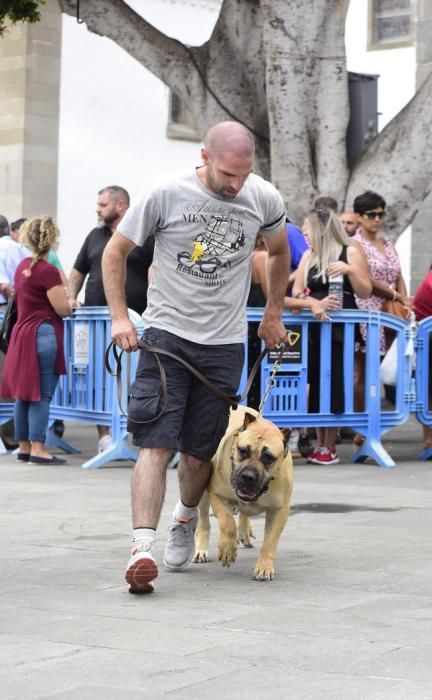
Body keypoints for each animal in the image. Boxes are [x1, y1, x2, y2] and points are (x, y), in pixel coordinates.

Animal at [193, 404, 292, 580]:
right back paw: (201, 550)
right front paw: (227, 549)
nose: (248, 476)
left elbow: (270, 541)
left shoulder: (280, 510)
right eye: (243, 451)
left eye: (268, 458)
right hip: (203, 489)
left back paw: (244, 531)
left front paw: (264, 567)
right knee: (204, 520)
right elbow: (227, 522)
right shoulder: (216, 494)